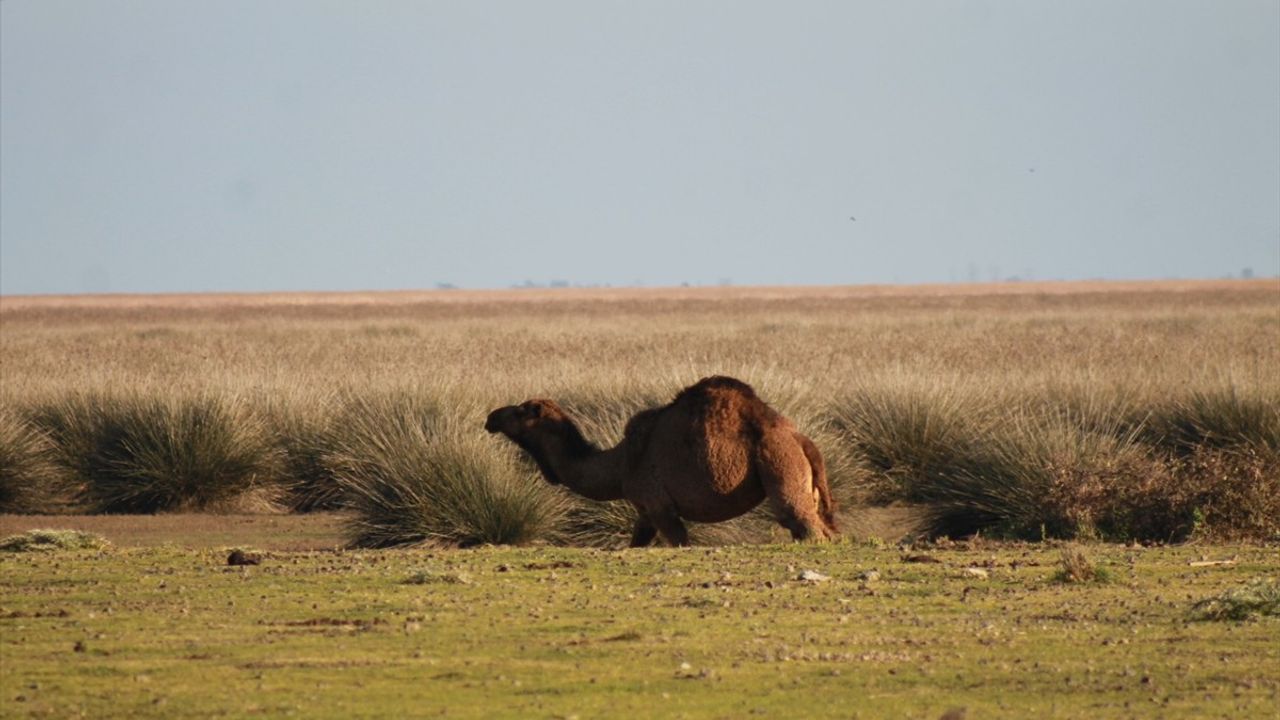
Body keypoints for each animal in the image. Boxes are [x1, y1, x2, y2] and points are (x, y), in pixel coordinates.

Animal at [481, 376, 839, 543]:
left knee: (801, 522)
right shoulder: (645, 512)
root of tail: (801, 440)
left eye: (521, 410)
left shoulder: (660, 506)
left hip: (778, 463)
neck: (620, 464)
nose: (491, 417)